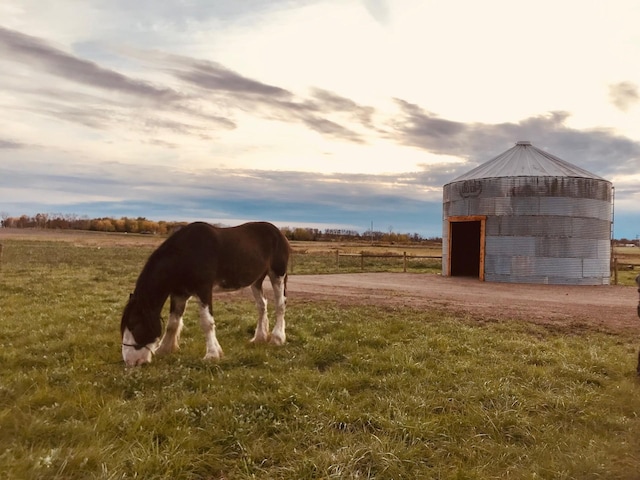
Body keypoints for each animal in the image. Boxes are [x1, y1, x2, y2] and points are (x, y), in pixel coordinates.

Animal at [120, 222, 290, 368]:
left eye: (135, 325)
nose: (130, 362)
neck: (186, 253)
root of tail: (278, 233)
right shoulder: (179, 294)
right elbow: (172, 323)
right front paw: (165, 349)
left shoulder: (204, 290)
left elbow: (207, 322)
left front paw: (212, 355)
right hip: (256, 281)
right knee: (262, 305)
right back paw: (259, 338)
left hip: (278, 275)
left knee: (280, 305)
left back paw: (277, 339)